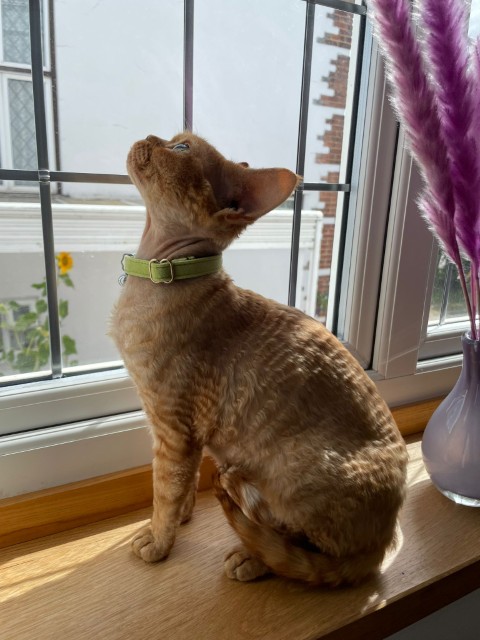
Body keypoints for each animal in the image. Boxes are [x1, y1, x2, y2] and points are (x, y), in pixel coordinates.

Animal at [111, 132, 408, 587]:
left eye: (181, 149)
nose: (149, 136)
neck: (158, 274)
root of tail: (382, 544)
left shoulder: (173, 426)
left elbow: (166, 486)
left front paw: (159, 539)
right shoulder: (185, 434)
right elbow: (185, 482)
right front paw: (182, 518)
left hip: (294, 474)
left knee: (305, 550)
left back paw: (253, 557)